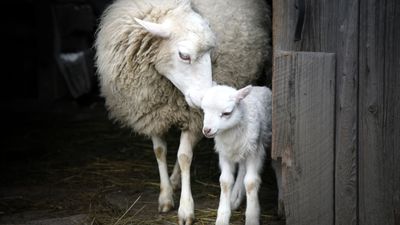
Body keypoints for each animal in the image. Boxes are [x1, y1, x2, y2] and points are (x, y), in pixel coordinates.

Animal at [95, 0, 270, 223]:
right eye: (184, 56)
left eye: (211, 53)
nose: (204, 99)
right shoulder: (152, 113)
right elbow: (160, 152)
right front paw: (166, 196)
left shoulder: (193, 119)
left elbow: (185, 157)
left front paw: (186, 209)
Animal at [199, 85, 282, 225]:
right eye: (204, 111)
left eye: (226, 113)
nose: (207, 130)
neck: (231, 133)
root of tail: (260, 86)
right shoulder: (224, 153)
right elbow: (225, 181)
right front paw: (222, 217)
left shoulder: (255, 150)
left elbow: (251, 182)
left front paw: (252, 217)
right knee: (242, 168)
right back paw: (235, 197)